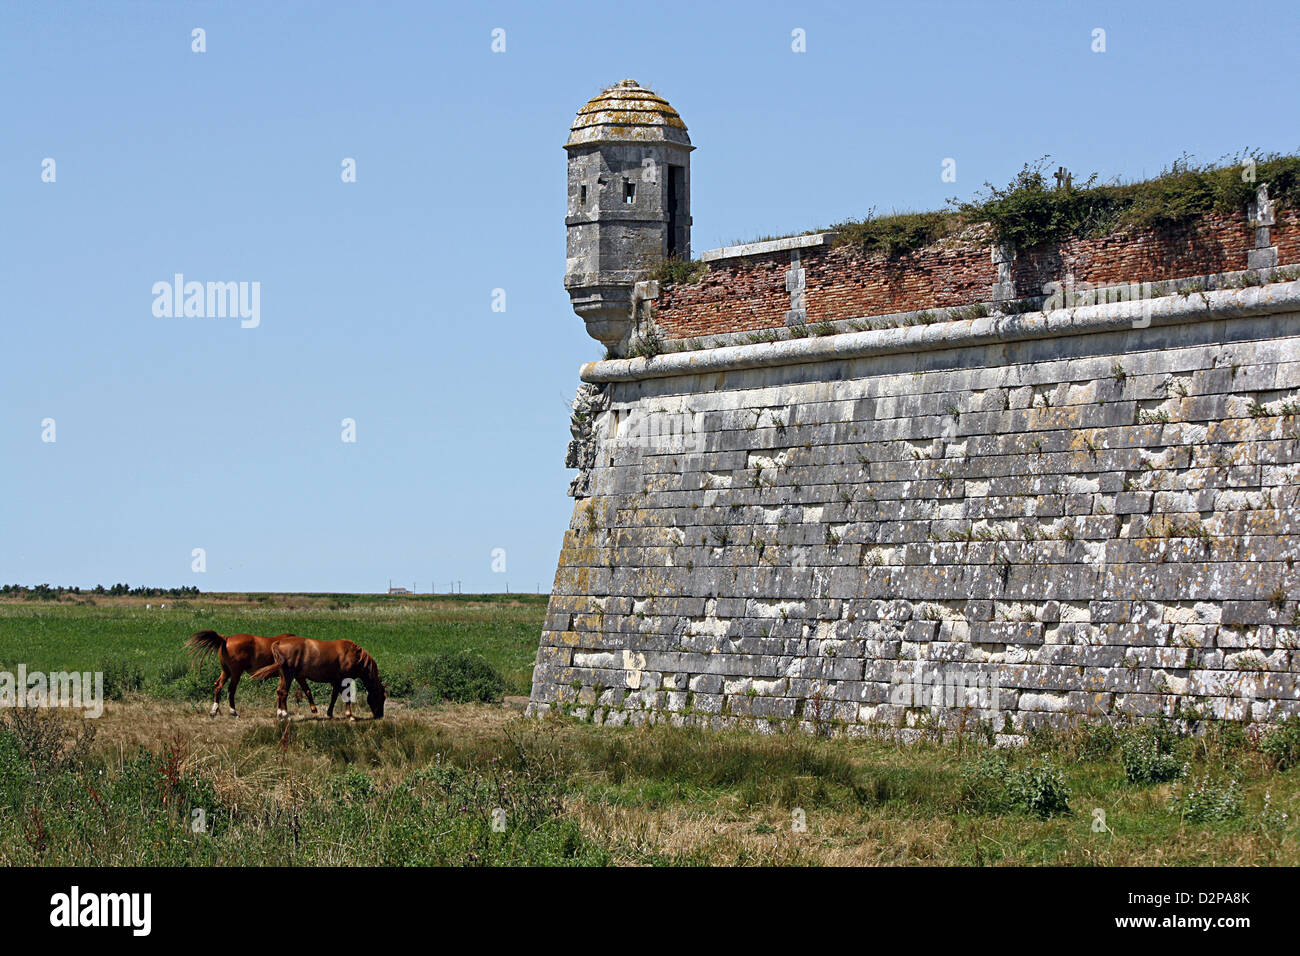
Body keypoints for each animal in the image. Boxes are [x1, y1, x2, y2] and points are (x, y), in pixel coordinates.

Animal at [185, 629, 319, 717]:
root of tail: (226, 639)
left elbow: (280, 691)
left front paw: (279, 711)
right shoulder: (295, 675)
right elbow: (306, 689)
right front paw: (313, 709)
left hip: (226, 671)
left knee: (218, 686)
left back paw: (214, 710)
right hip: (235, 672)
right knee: (231, 689)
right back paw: (233, 711)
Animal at [246, 639, 379, 723]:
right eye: (381, 696)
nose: (380, 715)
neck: (353, 655)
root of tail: (278, 643)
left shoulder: (335, 681)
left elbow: (333, 696)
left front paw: (329, 713)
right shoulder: (344, 680)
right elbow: (347, 696)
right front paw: (350, 716)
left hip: (284, 675)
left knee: (279, 691)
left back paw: (280, 714)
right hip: (288, 675)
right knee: (283, 692)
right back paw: (285, 715)